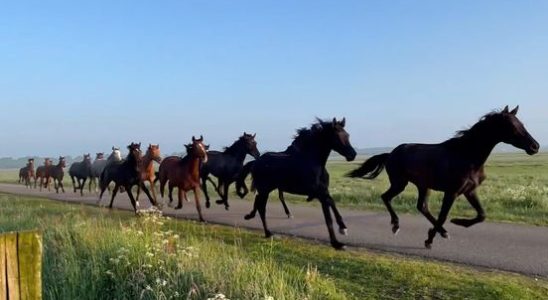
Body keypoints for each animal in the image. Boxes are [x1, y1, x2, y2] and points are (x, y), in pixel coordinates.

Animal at [234, 118, 356, 250]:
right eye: (337, 136)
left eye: (347, 135)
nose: (352, 154)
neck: (313, 162)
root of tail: (255, 162)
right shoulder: (318, 193)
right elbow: (329, 214)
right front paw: (338, 239)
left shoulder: (323, 191)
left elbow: (330, 207)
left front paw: (340, 233)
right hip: (264, 190)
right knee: (262, 208)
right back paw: (267, 232)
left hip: (266, 189)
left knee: (259, 205)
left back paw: (258, 223)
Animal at [346, 106, 540, 248]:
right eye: (513, 126)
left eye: (522, 123)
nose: (535, 146)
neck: (467, 155)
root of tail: (390, 154)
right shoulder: (452, 191)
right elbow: (444, 216)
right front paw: (433, 237)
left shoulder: (469, 191)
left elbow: (481, 215)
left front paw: (454, 225)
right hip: (400, 183)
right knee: (386, 197)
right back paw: (396, 225)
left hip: (423, 186)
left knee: (421, 206)